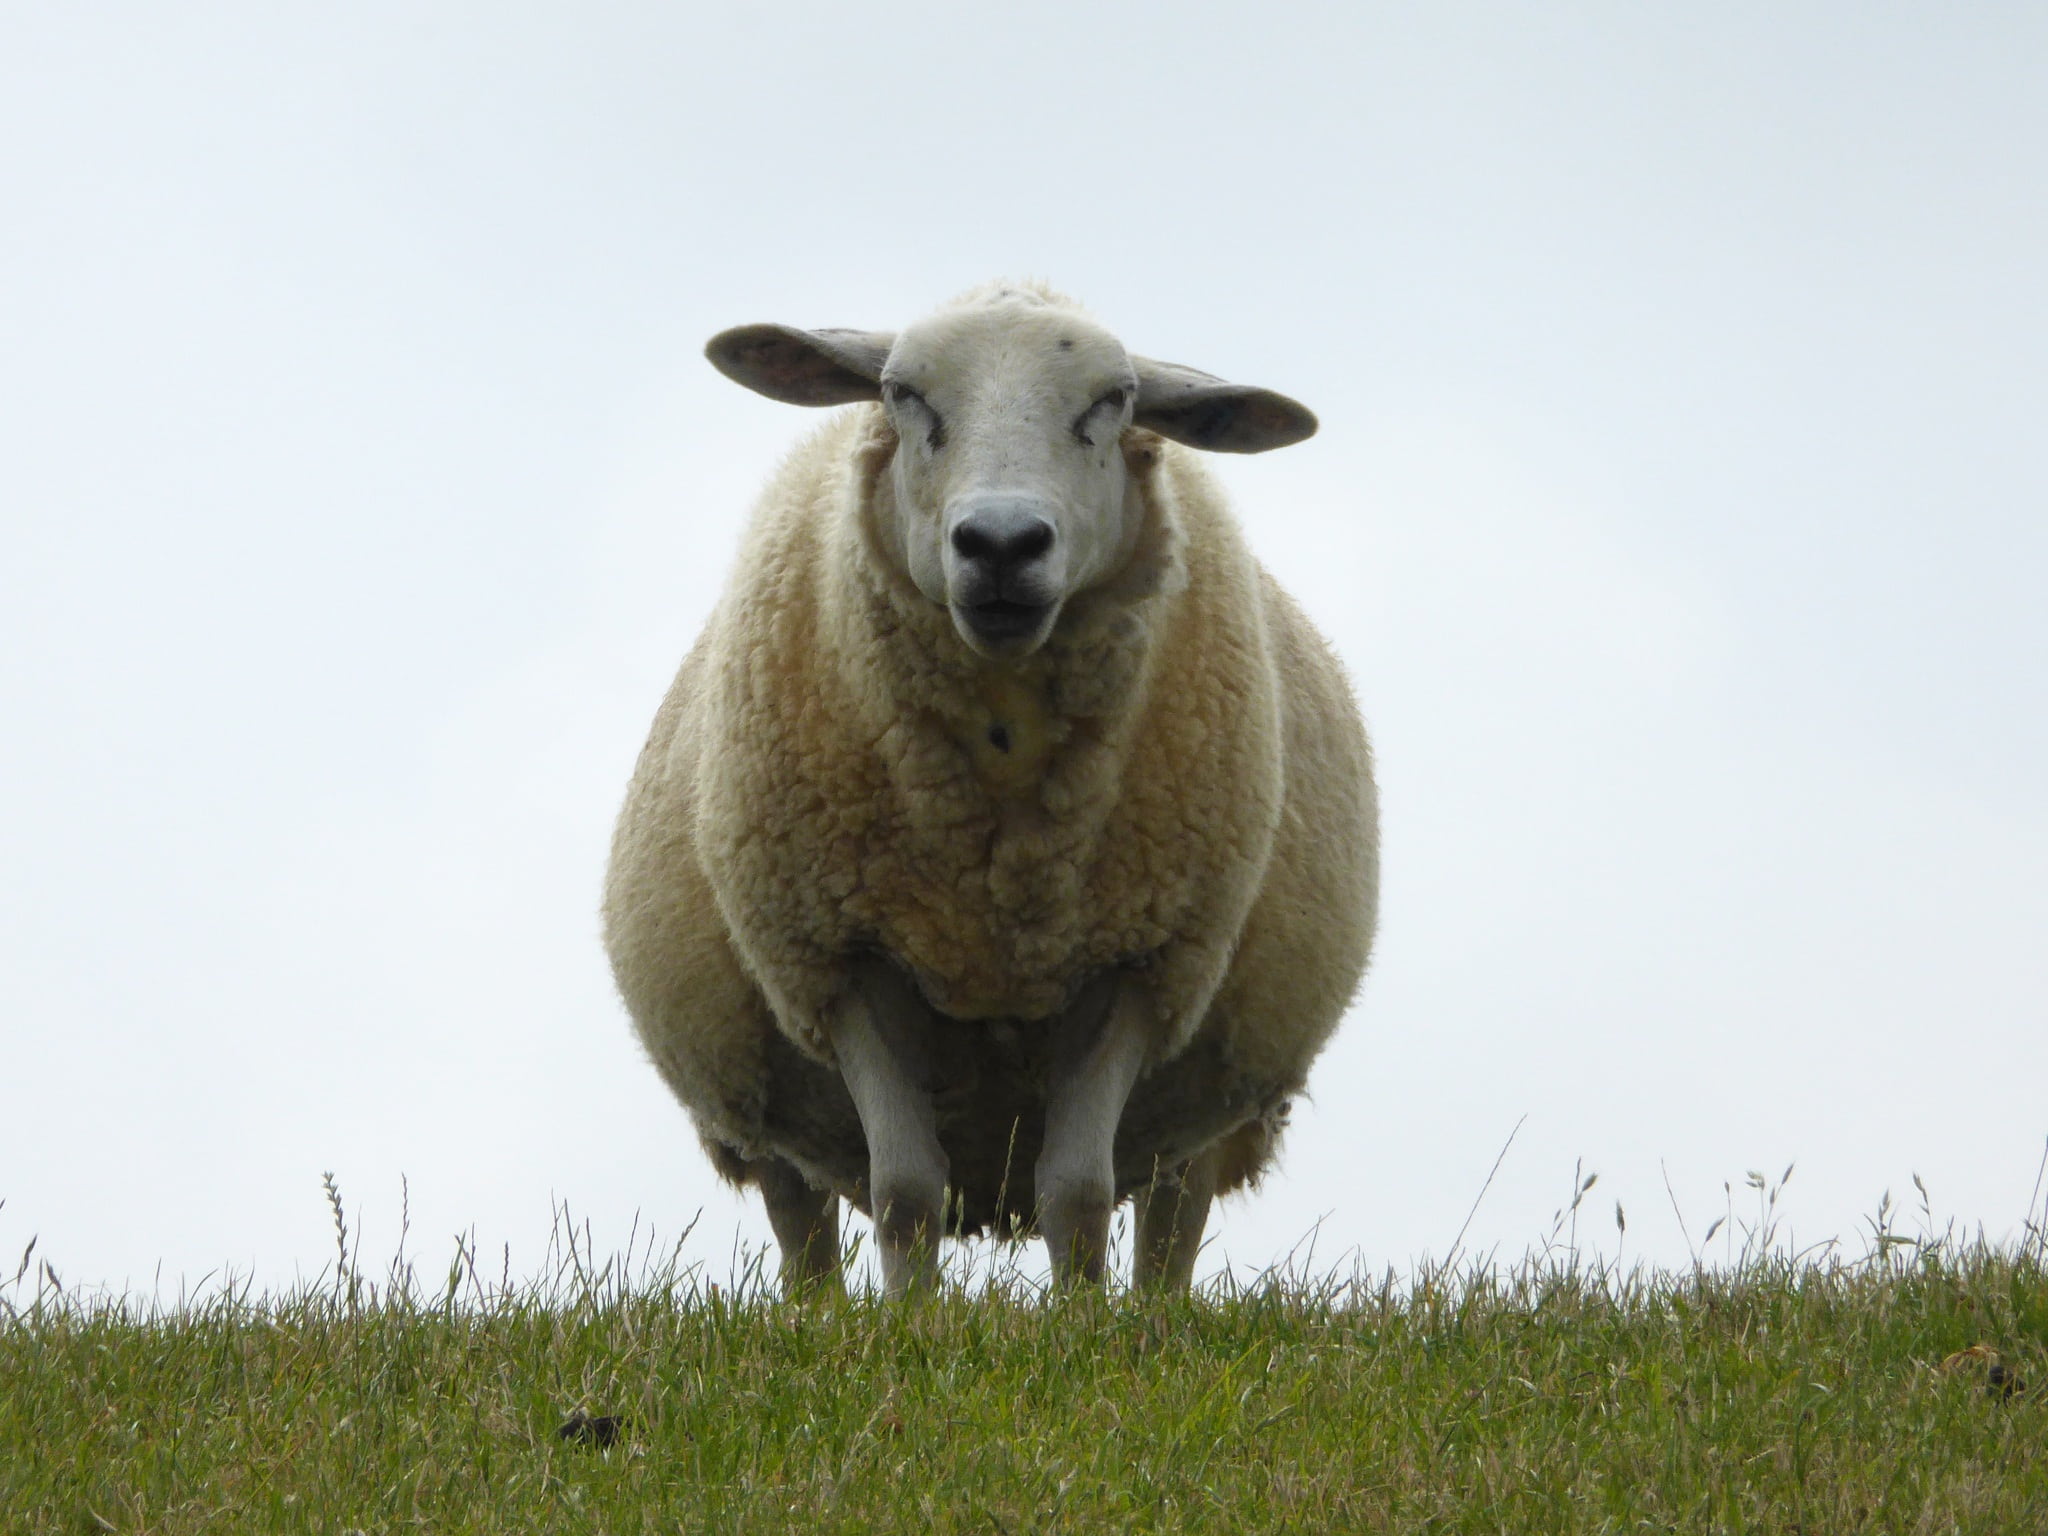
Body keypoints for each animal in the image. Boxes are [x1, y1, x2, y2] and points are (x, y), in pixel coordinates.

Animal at [603, 282, 1378, 1295]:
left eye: (1114, 402)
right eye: (902, 394)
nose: (1002, 544)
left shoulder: (1138, 961)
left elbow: (1078, 1195)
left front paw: (1086, 1323)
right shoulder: (845, 959)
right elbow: (904, 1192)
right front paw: (909, 1321)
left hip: (1206, 1082)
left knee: (1174, 1215)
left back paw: (1155, 1315)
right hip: (758, 1083)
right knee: (800, 1221)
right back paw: (821, 1318)